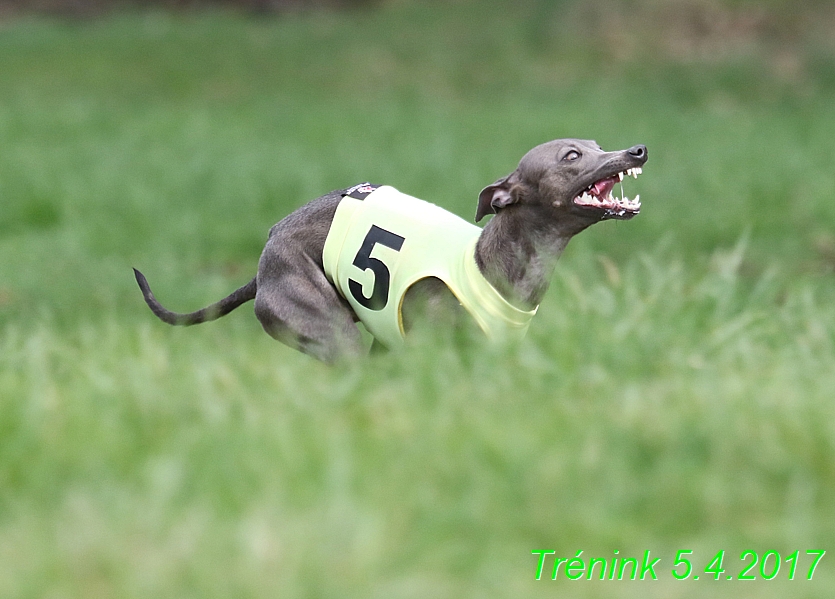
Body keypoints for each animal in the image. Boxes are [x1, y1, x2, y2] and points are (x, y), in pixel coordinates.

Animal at [136, 141, 648, 364]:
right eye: (572, 156)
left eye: (598, 144)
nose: (637, 150)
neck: (487, 265)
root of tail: (265, 259)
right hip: (335, 335)